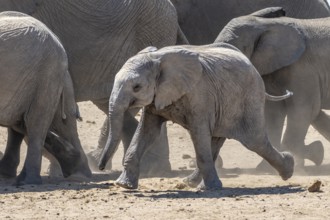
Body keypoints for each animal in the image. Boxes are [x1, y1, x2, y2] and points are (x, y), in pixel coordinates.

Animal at [98, 42, 294, 189]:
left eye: (137, 87)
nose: (100, 167)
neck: (158, 58)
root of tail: (252, 65)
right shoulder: (157, 97)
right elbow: (147, 132)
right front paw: (124, 185)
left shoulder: (200, 96)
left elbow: (198, 133)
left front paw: (212, 189)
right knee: (217, 140)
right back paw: (190, 183)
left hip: (249, 98)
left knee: (254, 140)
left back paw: (289, 167)